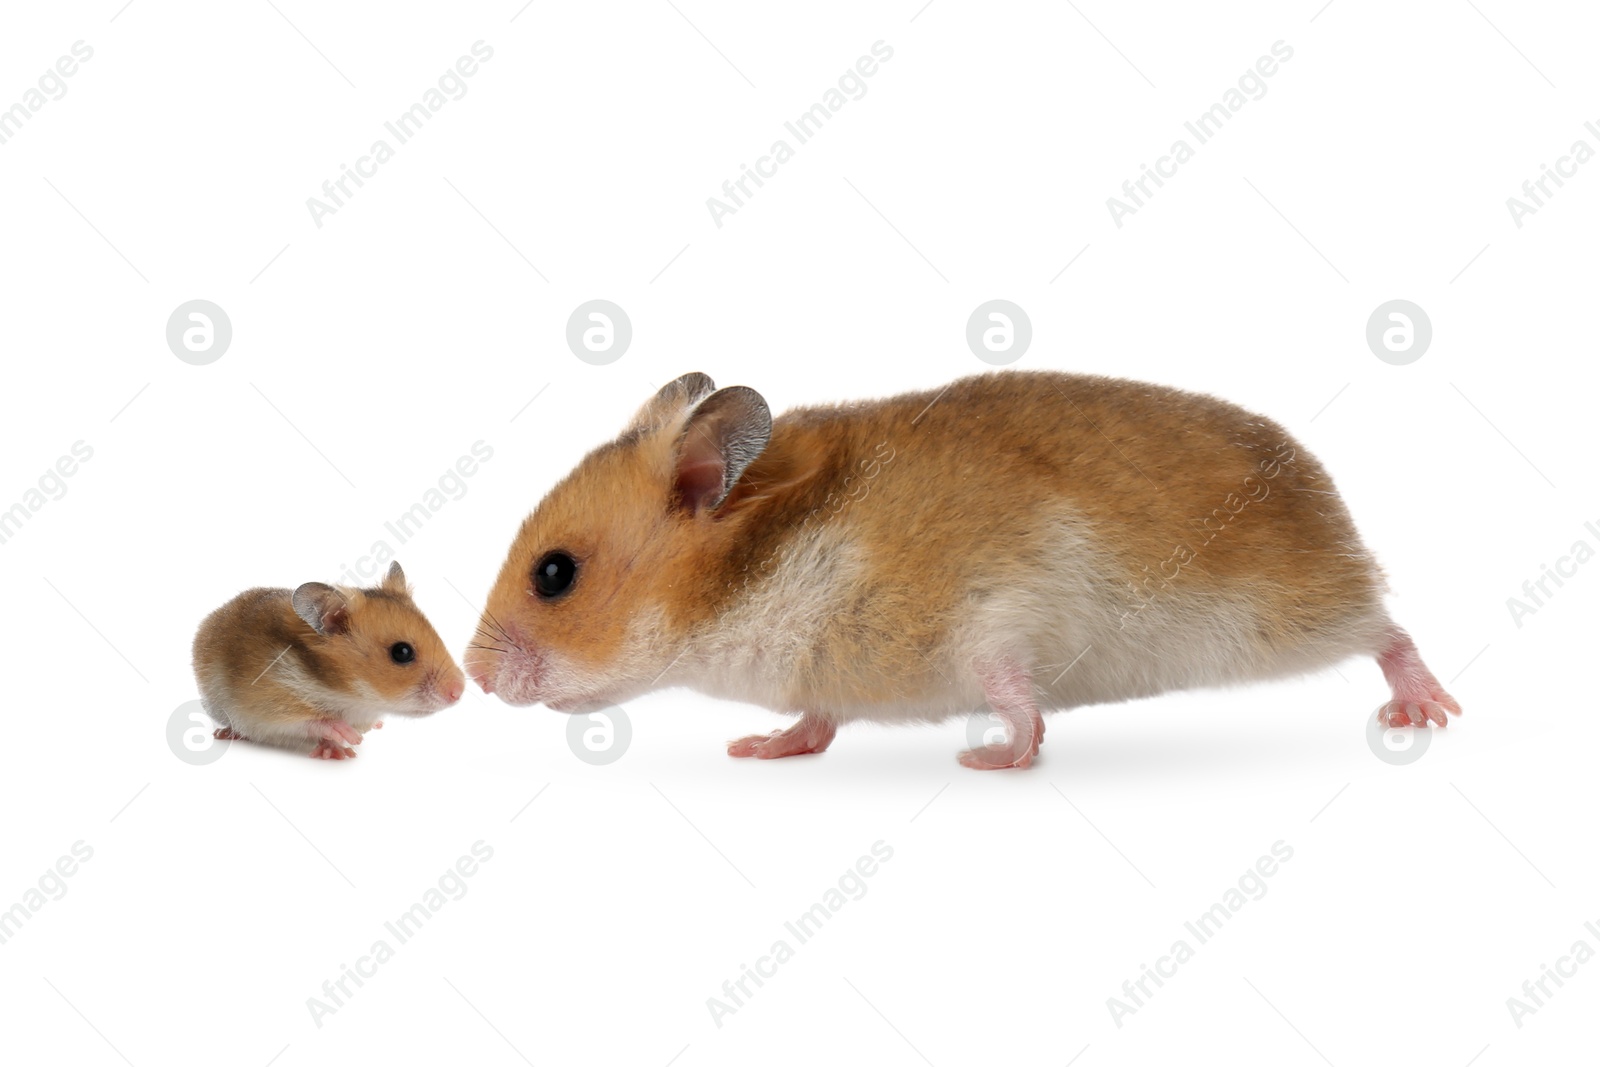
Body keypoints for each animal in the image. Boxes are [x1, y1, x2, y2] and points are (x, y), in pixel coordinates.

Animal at [194, 559, 467, 758]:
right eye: (402, 652)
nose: (459, 692)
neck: (346, 694)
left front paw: (340, 752)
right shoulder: (270, 705)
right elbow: (313, 721)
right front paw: (349, 737)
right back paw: (225, 734)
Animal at [464, 374, 1465, 767]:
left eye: (554, 573)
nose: (471, 678)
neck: (761, 575)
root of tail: (1322, 494)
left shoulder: (996, 613)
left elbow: (1015, 696)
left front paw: (989, 759)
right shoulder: (826, 673)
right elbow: (815, 719)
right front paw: (758, 747)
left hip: (1298, 610)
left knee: (1392, 630)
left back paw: (1424, 712)